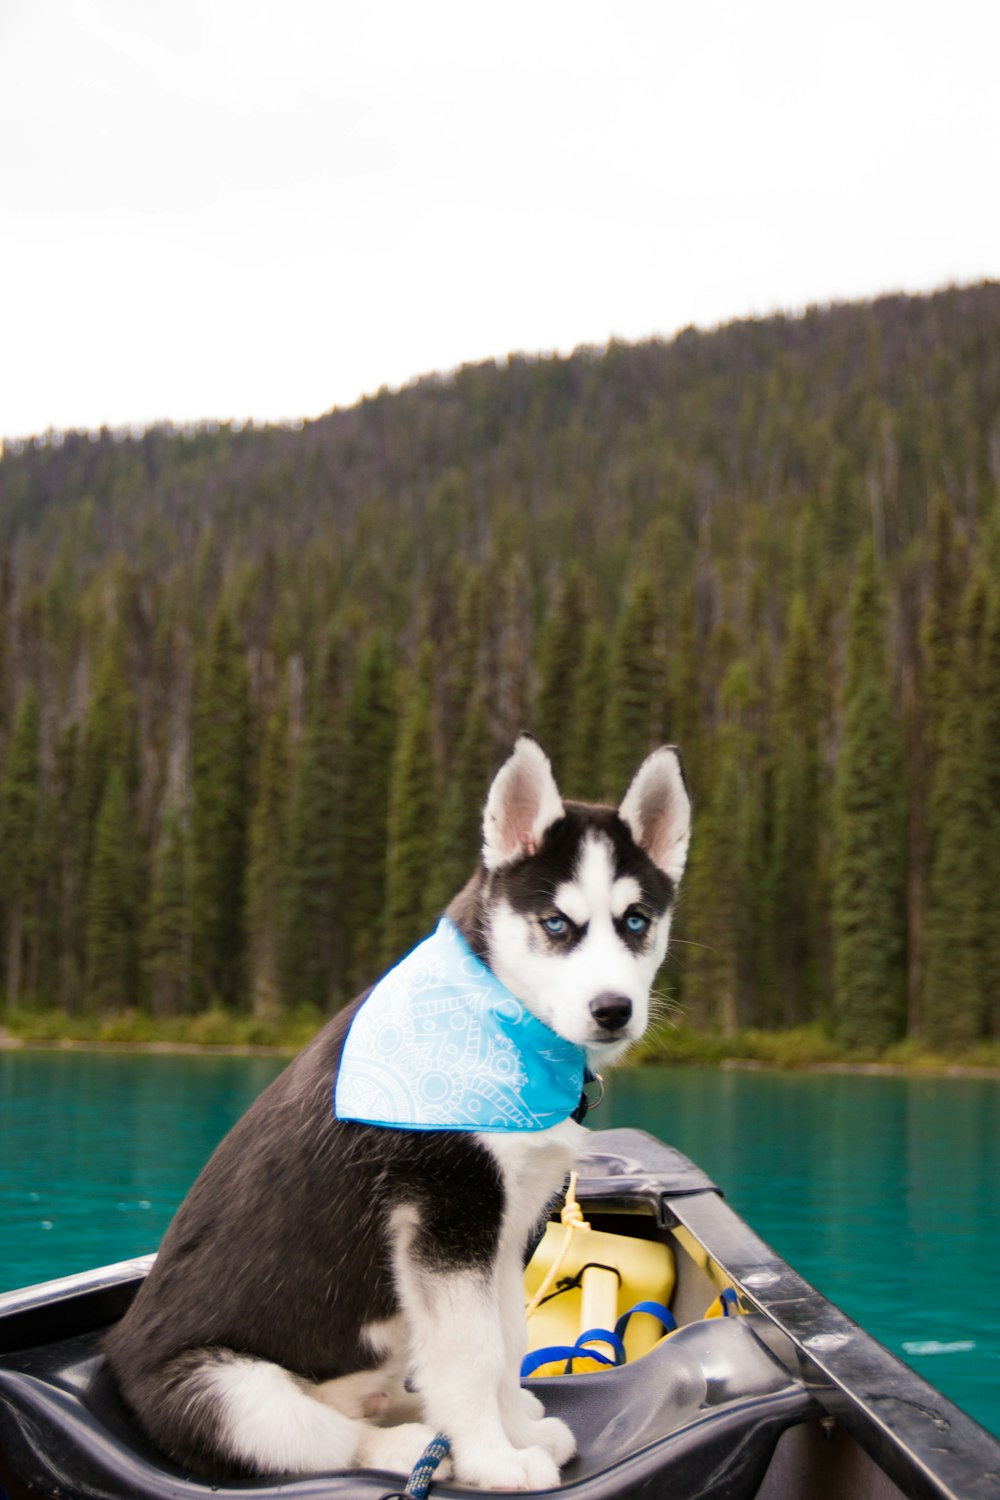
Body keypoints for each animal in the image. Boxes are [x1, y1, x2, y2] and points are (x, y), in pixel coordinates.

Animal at [105, 738, 692, 1488]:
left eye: (636, 921)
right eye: (557, 924)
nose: (613, 1010)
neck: (499, 1019)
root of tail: (116, 1363)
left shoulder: (500, 1234)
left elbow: (506, 1341)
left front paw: (515, 1430)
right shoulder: (445, 1221)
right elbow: (473, 1358)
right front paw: (494, 1459)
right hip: (231, 1394)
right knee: (326, 1441)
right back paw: (416, 1451)